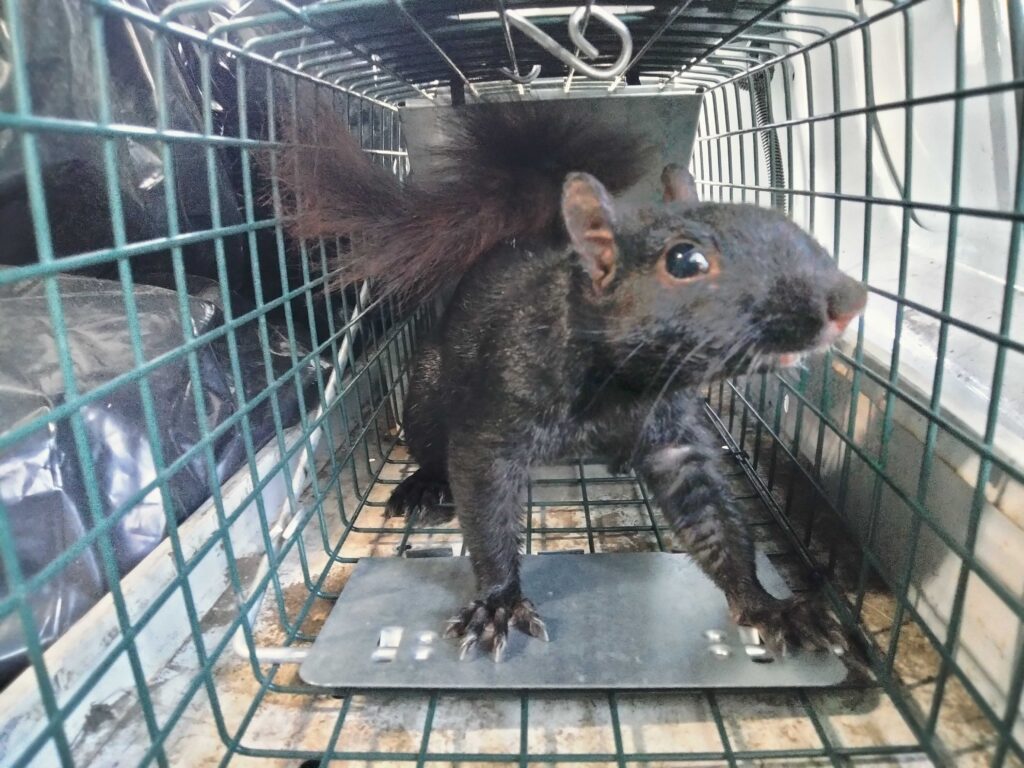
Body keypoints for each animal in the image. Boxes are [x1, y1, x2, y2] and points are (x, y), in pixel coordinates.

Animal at [277, 102, 868, 662]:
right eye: (685, 261)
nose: (850, 300)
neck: (625, 388)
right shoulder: (496, 422)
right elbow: (486, 515)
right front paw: (497, 603)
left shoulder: (675, 439)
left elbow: (716, 522)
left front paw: (769, 606)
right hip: (426, 390)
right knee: (429, 442)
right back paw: (424, 484)